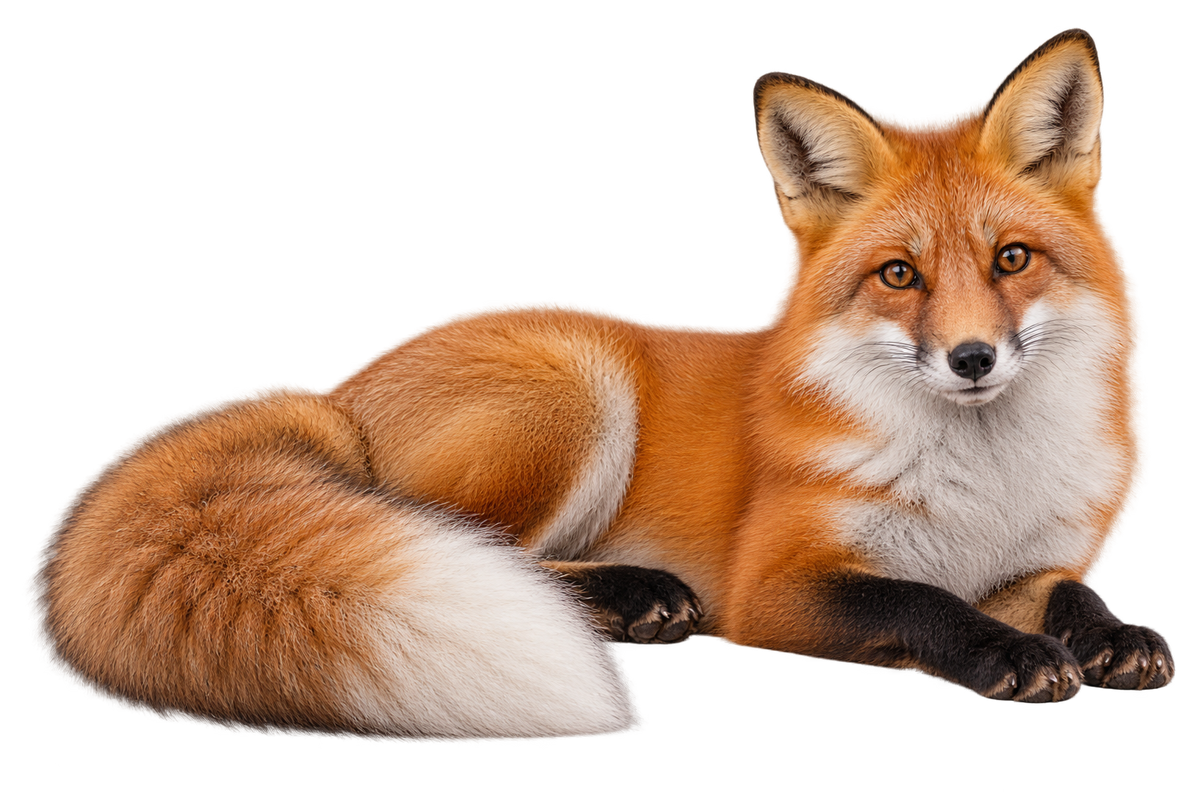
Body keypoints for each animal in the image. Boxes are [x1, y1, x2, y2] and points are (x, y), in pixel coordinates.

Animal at [23, 25, 1175, 741]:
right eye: (901, 276)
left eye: (1012, 260)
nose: (973, 359)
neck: (980, 480)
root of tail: (337, 384)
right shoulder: (777, 584)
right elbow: (918, 599)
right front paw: (1004, 657)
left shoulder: (1032, 555)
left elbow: (1073, 594)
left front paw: (1116, 640)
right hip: (574, 405)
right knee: (463, 540)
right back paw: (631, 596)